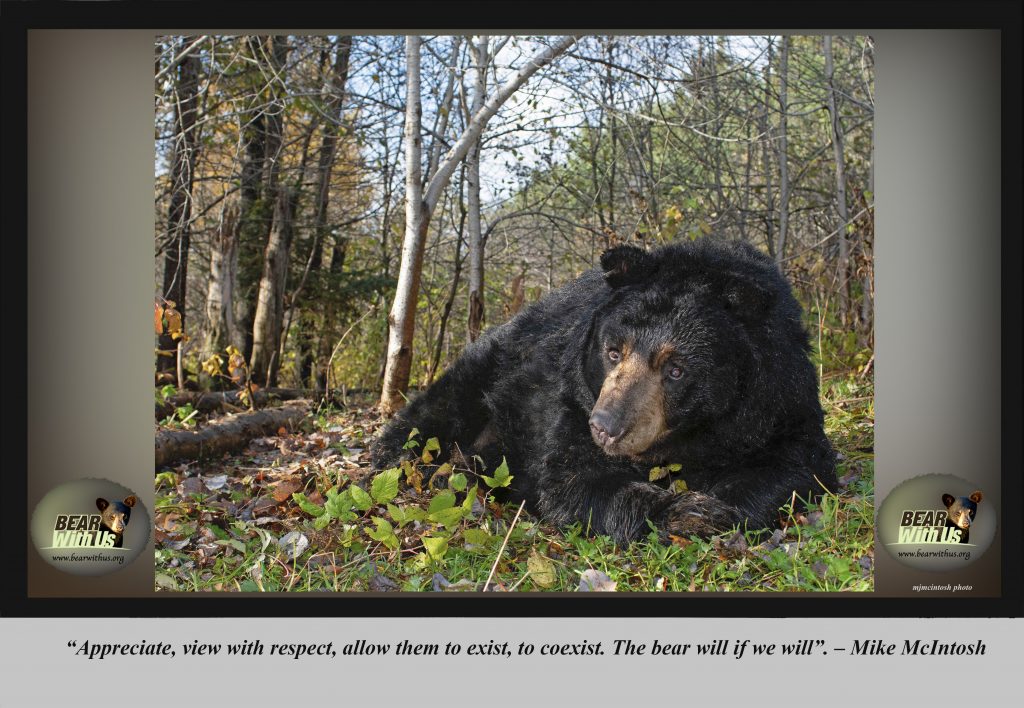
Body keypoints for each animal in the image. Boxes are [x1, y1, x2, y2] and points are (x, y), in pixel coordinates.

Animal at [372, 240, 835, 545]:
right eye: (613, 351)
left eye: (676, 369)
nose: (606, 427)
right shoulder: (572, 398)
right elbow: (571, 479)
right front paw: (684, 512)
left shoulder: (781, 398)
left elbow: (796, 465)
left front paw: (716, 506)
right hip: (482, 373)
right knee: (430, 419)